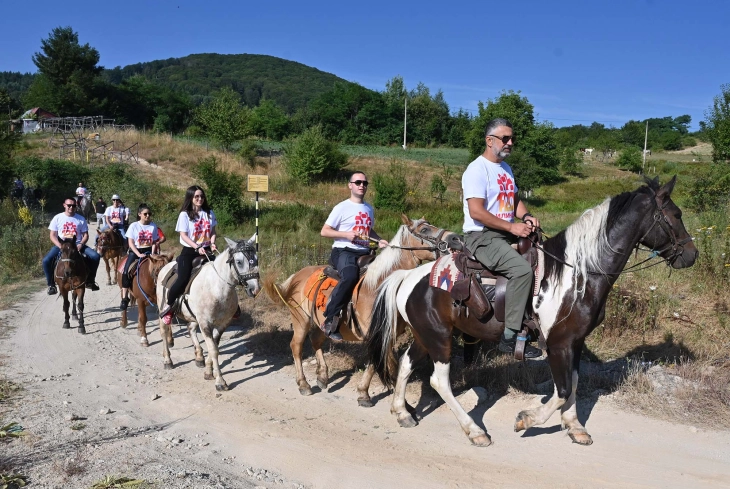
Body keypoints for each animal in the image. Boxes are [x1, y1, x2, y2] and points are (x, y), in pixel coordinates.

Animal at [156, 234, 262, 390]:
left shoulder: (222, 324)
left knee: (190, 329)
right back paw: (168, 361)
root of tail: (165, 267)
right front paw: (220, 381)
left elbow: (215, 346)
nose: (255, 289)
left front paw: (208, 371)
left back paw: (199, 357)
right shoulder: (205, 324)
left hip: (193, 316)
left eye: (256, 258)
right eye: (239, 261)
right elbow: (213, 350)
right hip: (163, 308)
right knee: (164, 332)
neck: (217, 289)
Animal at [262, 215, 450, 406]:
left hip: (322, 322)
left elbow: (391, 362)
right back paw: (303, 384)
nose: (454, 238)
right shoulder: (374, 333)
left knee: (315, 340)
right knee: (297, 346)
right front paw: (364, 393)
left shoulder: (390, 334)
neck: (381, 286)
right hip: (301, 319)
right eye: (425, 229)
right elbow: (376, 361)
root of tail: (298, 275)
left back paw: (322, 376)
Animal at [366, 176, 696, 446]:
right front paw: (528, 419)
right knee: (439, 381)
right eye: (676, 215)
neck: (577, 273)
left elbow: (574, 383)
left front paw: (575, 426)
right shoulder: (558, 343)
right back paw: (475, 431)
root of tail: (407, 276)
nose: (691, 255)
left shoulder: (575, 341)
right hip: (439, 337)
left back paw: (402, 412)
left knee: (406, 364)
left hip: (427, 335)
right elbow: (561, 390)